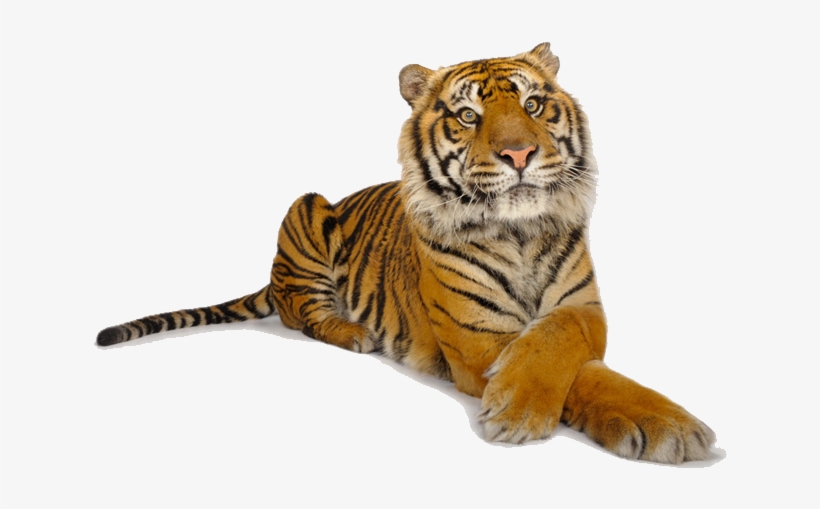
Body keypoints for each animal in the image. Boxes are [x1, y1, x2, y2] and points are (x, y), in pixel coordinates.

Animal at [97, 43, 716, 464]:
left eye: (535, 105)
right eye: (468, 116)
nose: (519, 154)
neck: (519, 234)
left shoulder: (585, 310)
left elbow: (563, 340)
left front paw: (668, 420)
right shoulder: (479, 339)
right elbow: (578, 375)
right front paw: (522, 412)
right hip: (305, 206)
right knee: (302, 313)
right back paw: (353, 333)